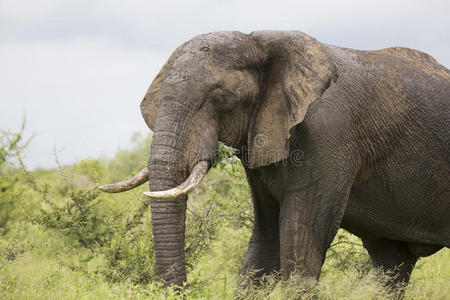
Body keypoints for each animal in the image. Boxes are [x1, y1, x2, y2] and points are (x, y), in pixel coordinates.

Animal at [99, 31, 450, 296]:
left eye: (218, 96)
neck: (259, 42)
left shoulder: (330, 136)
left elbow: (300, 248)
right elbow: (265, 243)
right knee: (392, 266)